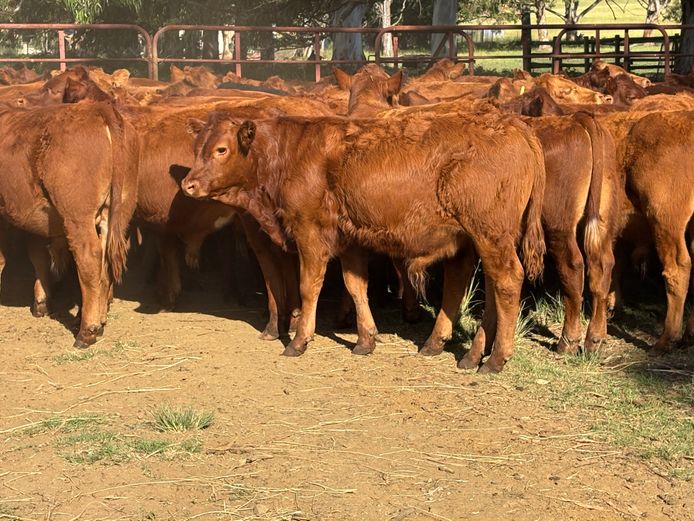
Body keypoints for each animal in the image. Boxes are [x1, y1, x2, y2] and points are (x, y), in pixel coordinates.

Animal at [0, 101, 139, 347]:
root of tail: (97, 108)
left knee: (89, 258)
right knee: (105, 264)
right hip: (119, 212)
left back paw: (87, 331)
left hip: (78, 216)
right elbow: (38, 256)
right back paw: (98, 322)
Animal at [180, 109, 546, 373]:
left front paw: (299, 340)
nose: (188, 185)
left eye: (221, 149)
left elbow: (308, 287)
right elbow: (356, 286)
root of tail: (515, 124)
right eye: (197, 149)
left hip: (490, 236)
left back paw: (495, 359)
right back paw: (458, 351)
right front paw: (365, 339)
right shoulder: (350, 240)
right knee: (480, 288)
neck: (291, 153)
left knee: (507, 282)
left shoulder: (310, 234)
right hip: (477, 240)